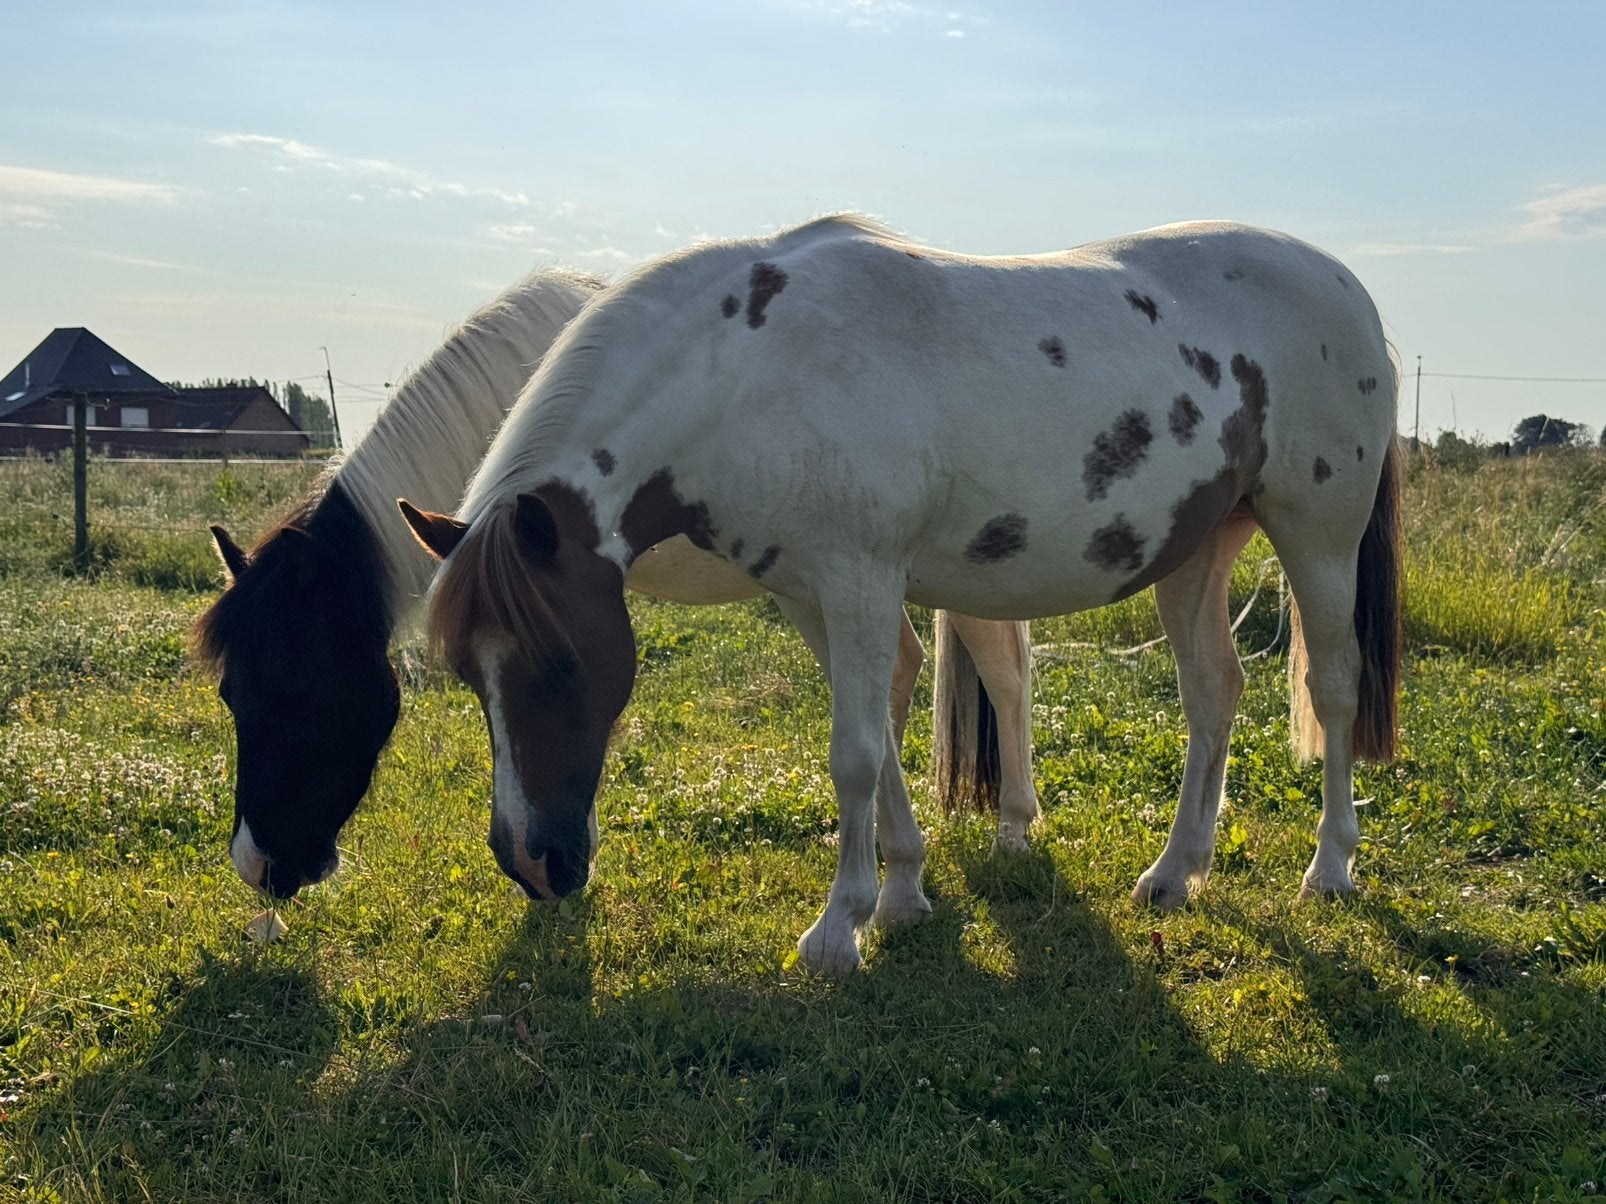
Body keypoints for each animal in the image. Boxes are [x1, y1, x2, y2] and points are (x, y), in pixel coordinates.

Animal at [402, 214, 1403, 976]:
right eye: (467, 677)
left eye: (562, 664)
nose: (533, 864)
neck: (748, 373)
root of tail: (1347, 285)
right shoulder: (814, 596)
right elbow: (878, 742)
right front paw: (900, 893)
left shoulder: (860, 579)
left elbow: (851, 754)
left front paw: (837, 928)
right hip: (1198, 549)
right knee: (1212, 691)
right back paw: (1176, 872)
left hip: (1317, 533)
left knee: (1333, 688)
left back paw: (1330, 868)